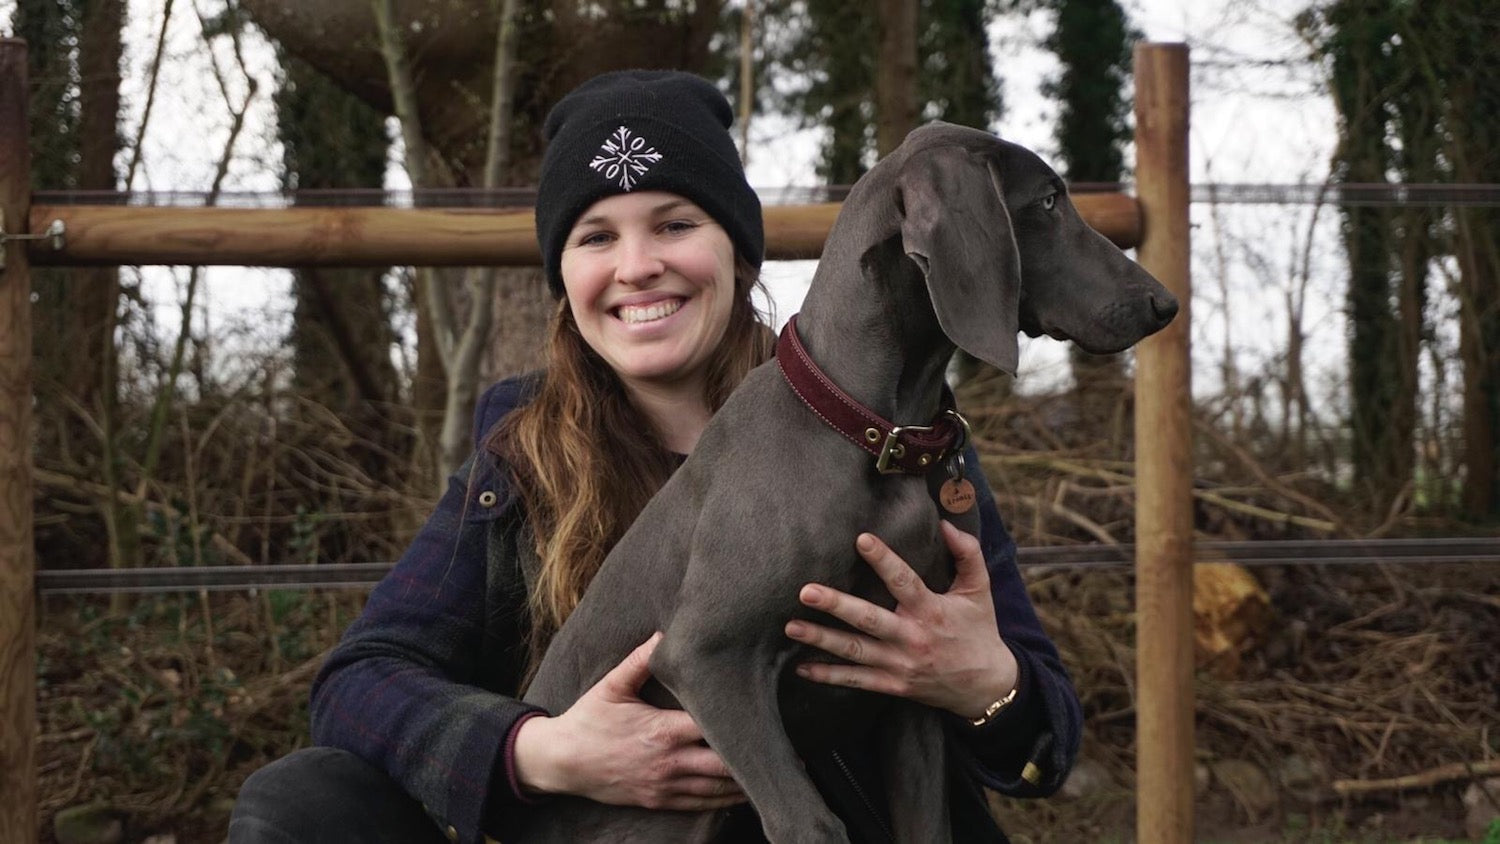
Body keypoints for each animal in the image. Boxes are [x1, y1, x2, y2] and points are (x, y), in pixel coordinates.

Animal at [516, 122, 1170, 839]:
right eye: (1050, 201)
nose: (1163, 303)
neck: (875, 429)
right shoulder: (706, 656)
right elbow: (812, 822)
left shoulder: (916, 679)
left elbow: (925, 819)